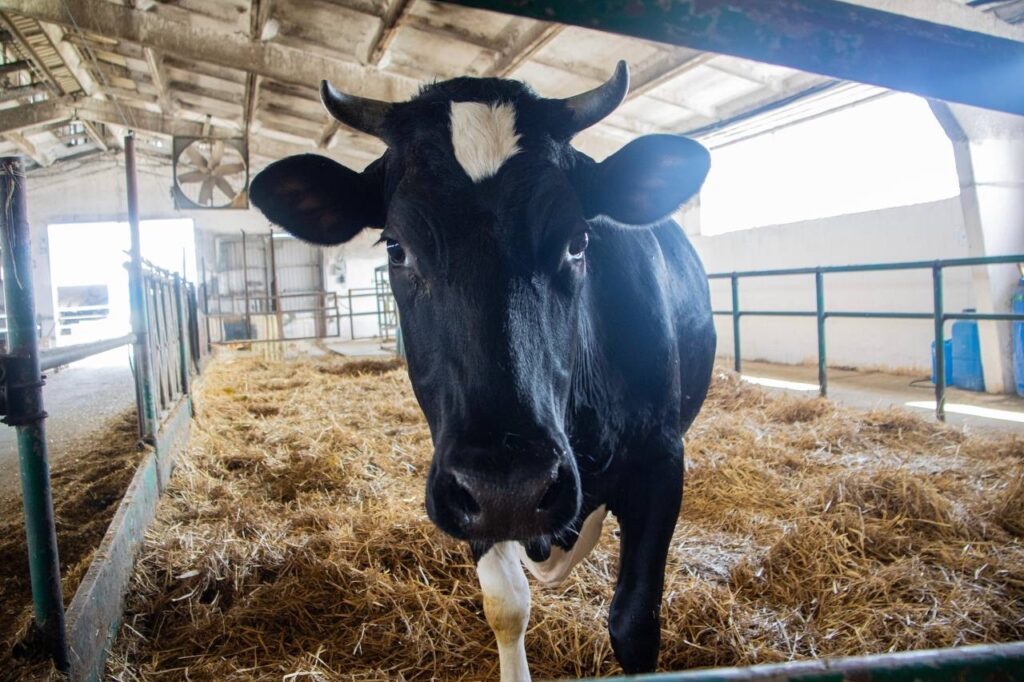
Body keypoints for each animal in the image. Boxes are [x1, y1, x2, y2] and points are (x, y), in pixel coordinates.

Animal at [249, 61, 716, 680]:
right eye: (395, 248)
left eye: (578, 240)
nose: (511, 486)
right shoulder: (460, 483)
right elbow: (506, 606)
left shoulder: (662, 459)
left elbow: (634, 621)